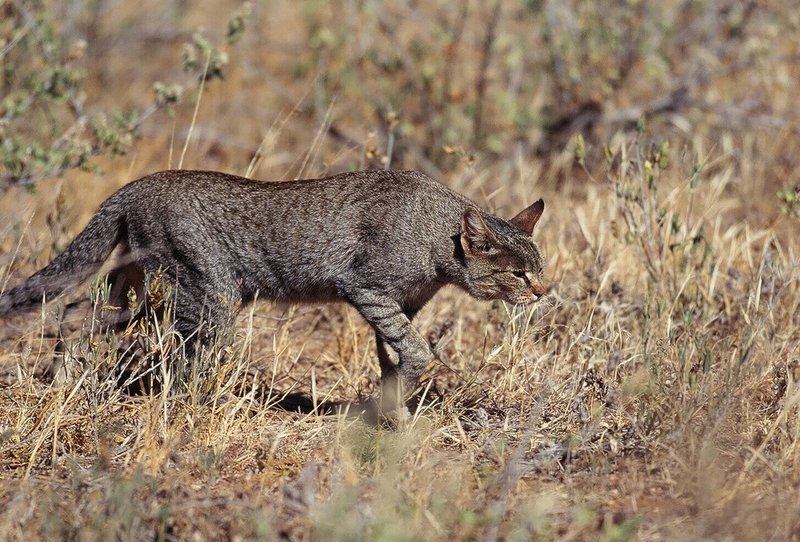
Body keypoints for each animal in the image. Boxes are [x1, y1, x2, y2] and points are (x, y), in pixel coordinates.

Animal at [0, 170, 544, 404]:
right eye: (519, 273)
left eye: (539, 267)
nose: (543, 291)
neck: (437, 239)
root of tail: (133, 186)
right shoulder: (366, 288)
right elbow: (411, 347)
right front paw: (402, 389)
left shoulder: (401, 303)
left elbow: (389, 353)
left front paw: (392, 408)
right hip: (203, 297)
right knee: (180, 361)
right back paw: (192, 404)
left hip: (139, 294)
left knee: (71, 312)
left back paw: (61, 382)